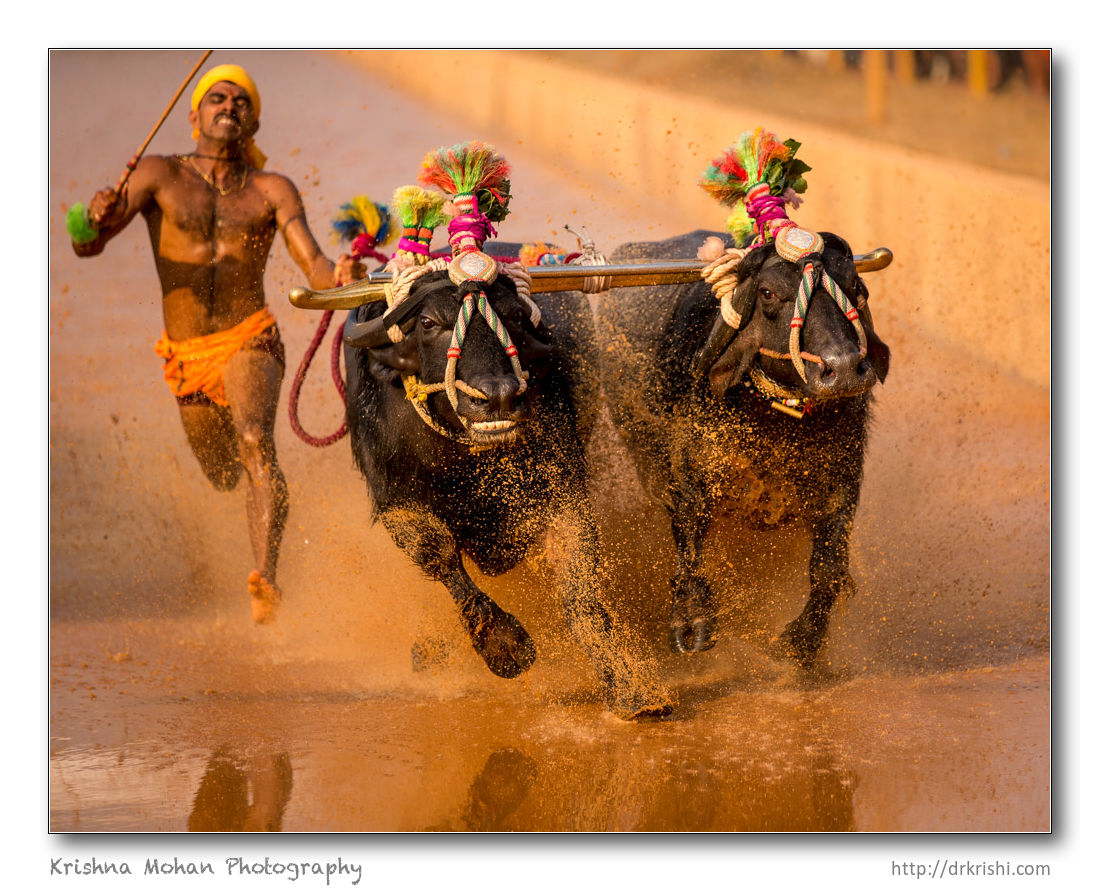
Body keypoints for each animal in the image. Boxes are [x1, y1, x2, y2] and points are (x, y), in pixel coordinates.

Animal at [343, 256, 668, 717]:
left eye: (515, 316)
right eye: (427, 322)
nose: (496, 396)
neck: (466, 462)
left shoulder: (563, 489)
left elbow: (580, 583)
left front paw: (632, 684)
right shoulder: (396, 504)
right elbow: (439, 555)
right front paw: (505, 646)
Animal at [598, 229, 888, 668]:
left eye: (854, 285)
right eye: (767, 292)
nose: (842, 370)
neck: (776, 423)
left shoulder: (842, 481)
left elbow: (828, 567)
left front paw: (804, 640)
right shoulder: (689, 478)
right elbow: (690, 543)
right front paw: (691, 618)